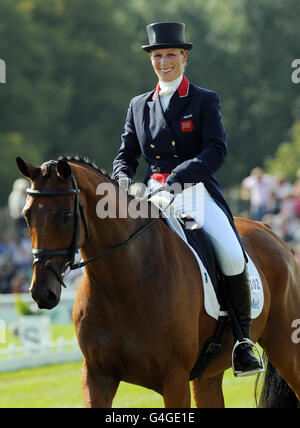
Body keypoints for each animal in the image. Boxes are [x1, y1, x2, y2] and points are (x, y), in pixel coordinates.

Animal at [16, 155, 300, 406]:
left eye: (65, 216)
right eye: (26, 215)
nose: (41, 292)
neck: (122, 282)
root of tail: (270, 232)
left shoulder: (174, 379)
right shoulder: (97, 376)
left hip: (287, 346)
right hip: (208, 375)